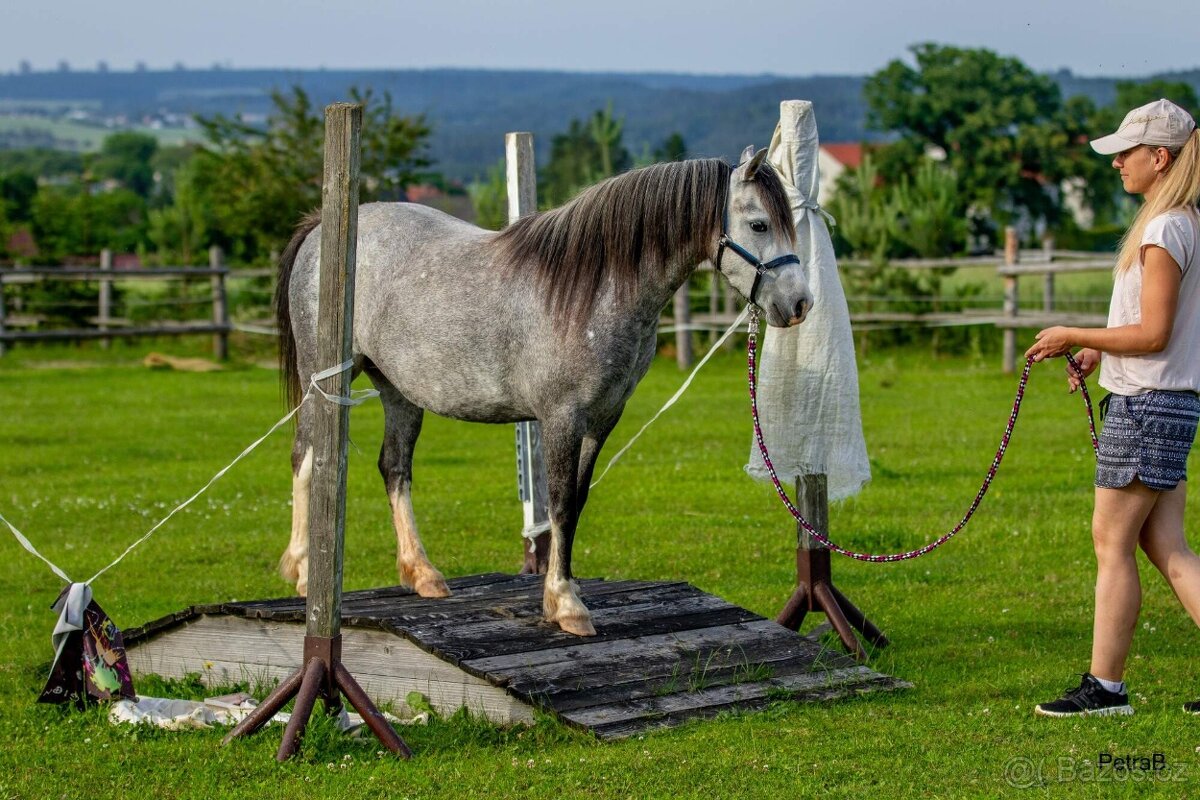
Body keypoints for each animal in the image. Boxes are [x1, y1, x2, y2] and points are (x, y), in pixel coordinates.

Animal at [274, 146, 812, 636]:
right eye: (760, 225)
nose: (800, 304)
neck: (595, 288)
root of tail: (322, 227)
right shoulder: (560, 418)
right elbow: (558, 503)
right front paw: (566, 604)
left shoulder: (603, 419)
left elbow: (575, 504)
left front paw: (562, 593)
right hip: (324, 379)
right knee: (306, 456)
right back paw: (302, 570)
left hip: (399, 389)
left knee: (394, 466)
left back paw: (422, 573)